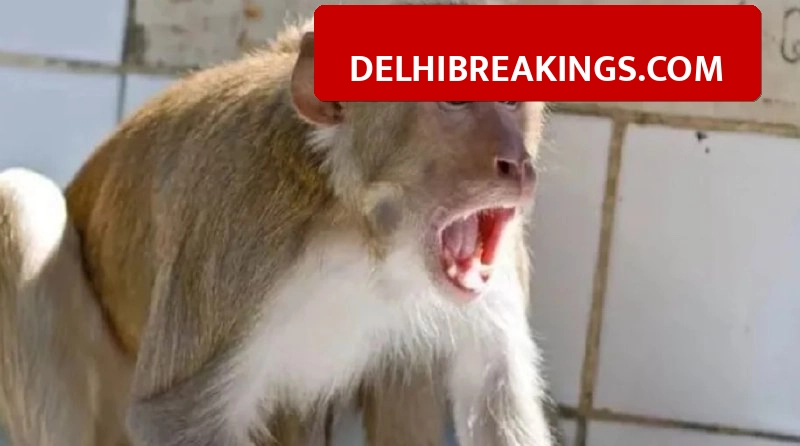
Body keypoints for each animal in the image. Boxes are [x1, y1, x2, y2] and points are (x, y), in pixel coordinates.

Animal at [0, 13, 554, 446]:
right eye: (454, 99)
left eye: (511, 98)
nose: (516, 162)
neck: (364, 228)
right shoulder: (236, 229)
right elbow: (173, 417)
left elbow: (494, 397)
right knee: (24, 200)